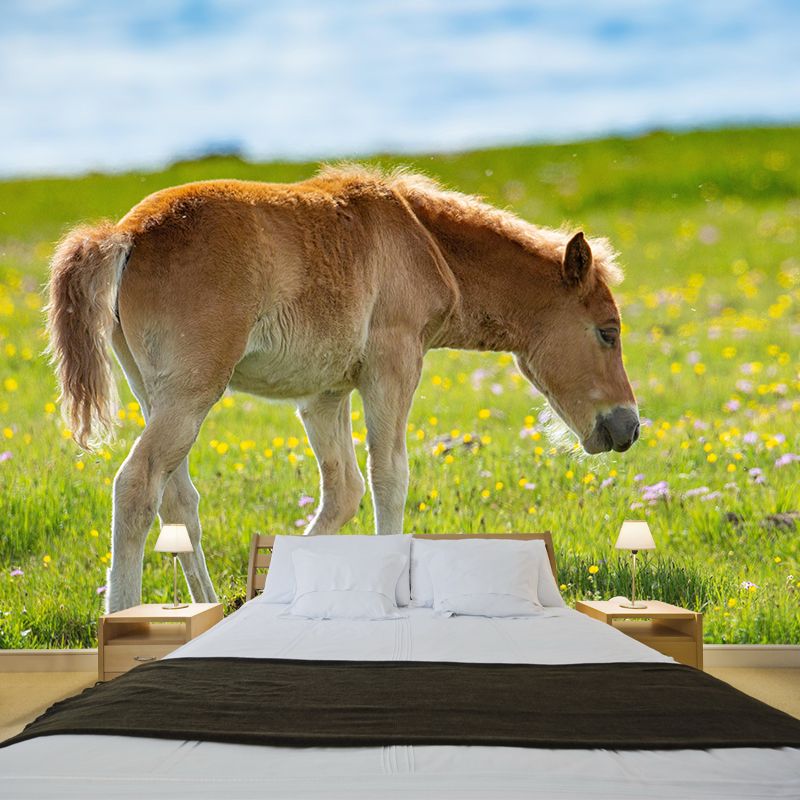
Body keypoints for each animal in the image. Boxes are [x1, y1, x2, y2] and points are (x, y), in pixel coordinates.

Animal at [46, 165, 639, 613]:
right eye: (607, 331)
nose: (629, 427)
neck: (423, 242)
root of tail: (124, 235)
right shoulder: (392, 365)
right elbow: (389, 477)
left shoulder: (324, 396)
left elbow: (344, 492)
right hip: (192, 394)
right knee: (137, 484)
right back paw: (124, 615)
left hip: (155, 393)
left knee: (177, 498)